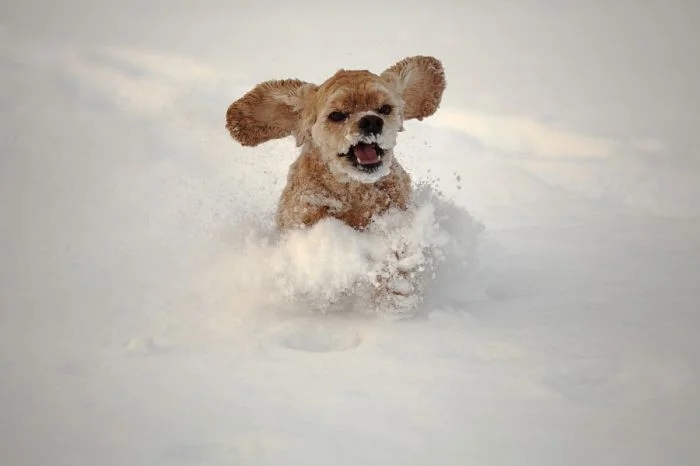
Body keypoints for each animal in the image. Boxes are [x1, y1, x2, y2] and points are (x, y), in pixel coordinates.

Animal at [226, 57, 442, 314]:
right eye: (337, 115)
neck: (355, 189)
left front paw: (396, 292)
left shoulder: (400, 208)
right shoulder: (302, 213)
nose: (371, 121)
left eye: (385, 109)